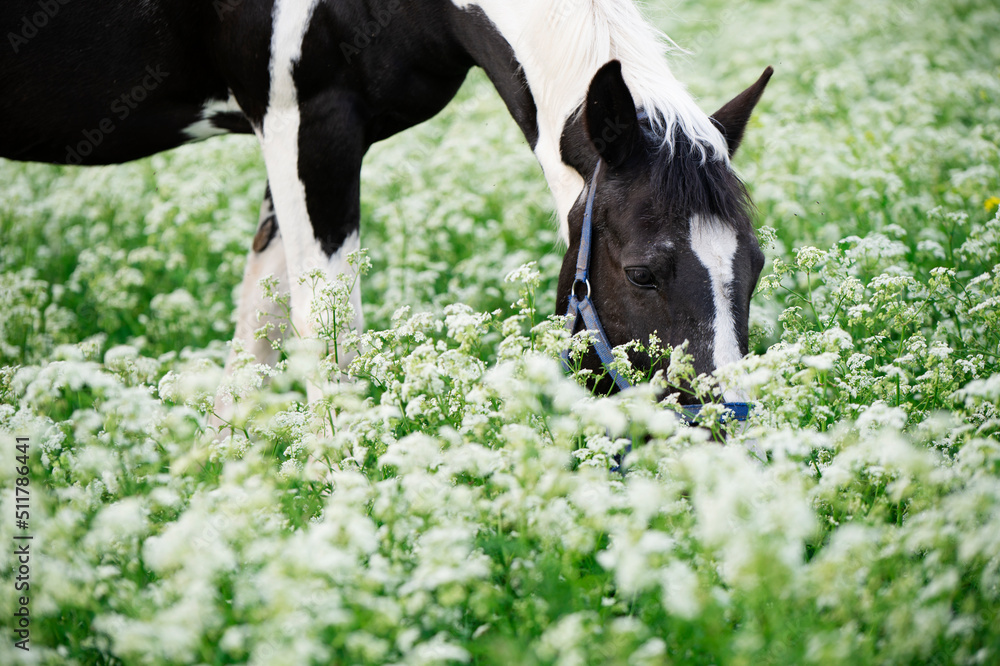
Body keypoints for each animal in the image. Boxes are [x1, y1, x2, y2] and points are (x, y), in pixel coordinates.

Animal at [0, 0, 770, 403]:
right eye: (642, 273)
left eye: (756, 265)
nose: (721, 436)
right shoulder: (309, 125)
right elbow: (325, 337)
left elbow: (260, 329)